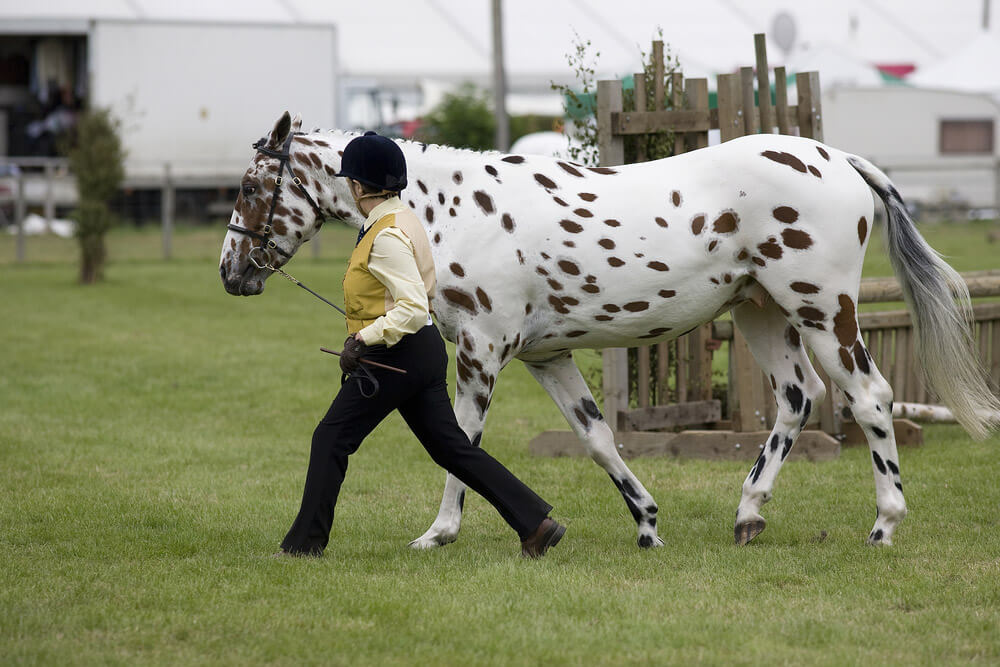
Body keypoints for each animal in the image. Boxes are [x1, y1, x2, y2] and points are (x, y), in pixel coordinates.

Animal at [221, 111, 1000, 548]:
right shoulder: (547, 357)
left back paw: (884, 524)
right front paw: (647, 523)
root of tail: (840, 161)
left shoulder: (480, 351)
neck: (450, 211)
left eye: (253, 187)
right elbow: (597, 440)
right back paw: (748, 515)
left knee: (870, 398)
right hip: (760, 313)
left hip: (821, 309)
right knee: (797, 399)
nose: (231, 273)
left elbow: (461, 444)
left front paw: (439, 533)